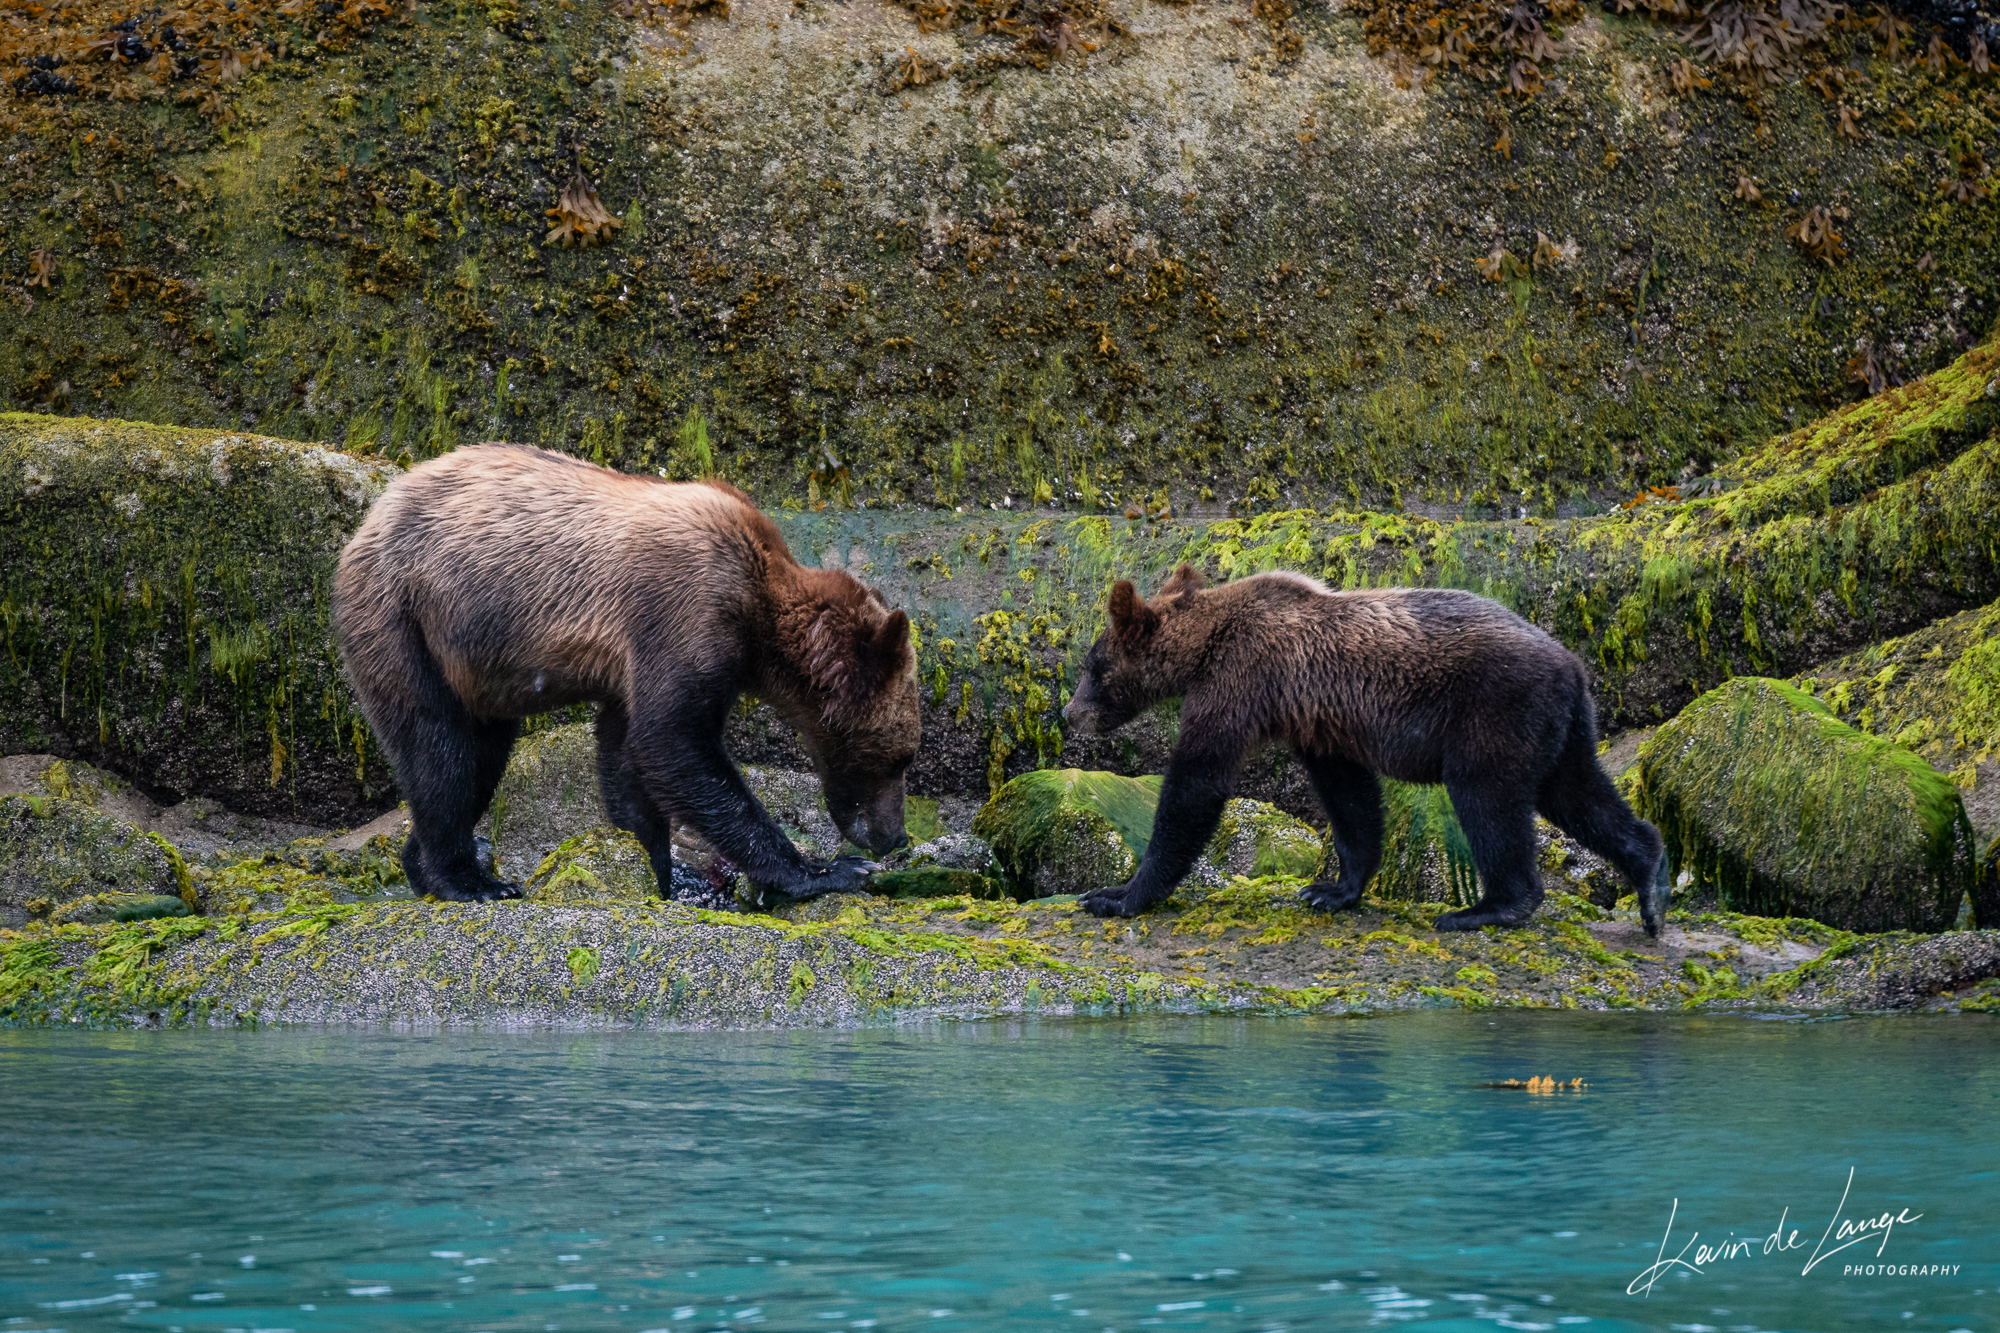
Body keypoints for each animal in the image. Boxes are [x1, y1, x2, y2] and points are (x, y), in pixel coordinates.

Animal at [333, 443, 920, 903]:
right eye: (902, 757)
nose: (896, 837)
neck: (760, 616)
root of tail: (368, 521)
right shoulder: (686, 612)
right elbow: (674, 742)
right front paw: (826, 870)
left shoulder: (632, 668)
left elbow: (627, 759)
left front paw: (663, 872)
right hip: (407, 622)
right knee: (441, 751)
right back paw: (470, 880)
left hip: (471, 666)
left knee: (479, 758)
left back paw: (423, 865)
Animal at [1061, 565, 1671, 936]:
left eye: (1094, 667)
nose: (1069, 714)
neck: (1207, 645)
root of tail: (1572, 665)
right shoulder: (1316, 718)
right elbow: (1350, 796)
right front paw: (1332, 889)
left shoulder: (1243, 679)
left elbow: (1197, 783)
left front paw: (1117, 894)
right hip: (1561, 728)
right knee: (1580, 794)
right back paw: (1651, 884)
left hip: (1494, 712)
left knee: (1488, 798)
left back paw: (1488, 908)